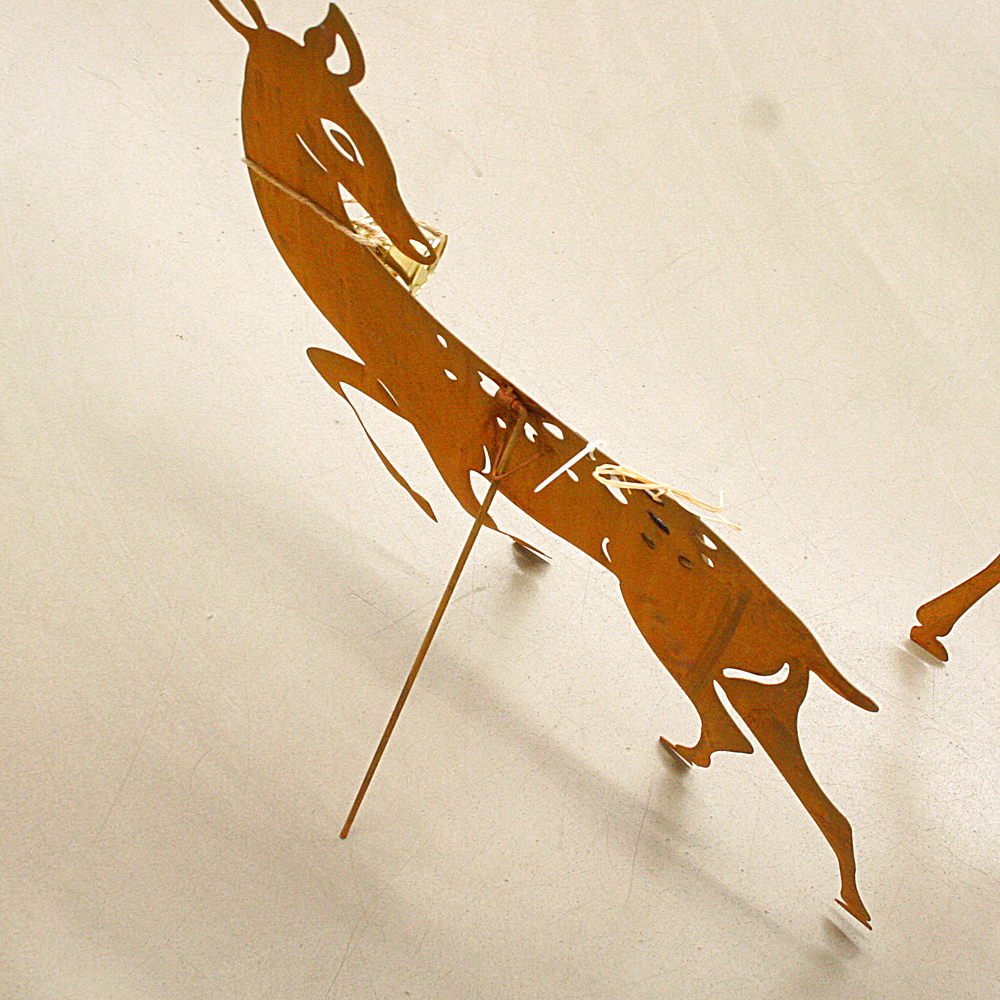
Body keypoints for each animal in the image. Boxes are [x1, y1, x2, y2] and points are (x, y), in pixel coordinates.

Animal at [207, 0, 879, 926]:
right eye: (342, 134)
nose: (418, 241)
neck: (395, 328)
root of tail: (804, 640)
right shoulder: (411, 401)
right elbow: (328, 367)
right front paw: (516, 543)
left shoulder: (445, 432)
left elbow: (439, 480)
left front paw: (493, 532)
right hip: (758, 683)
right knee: (789, 776)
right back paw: (833, 886)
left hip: (673, 633)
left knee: (750, 750)